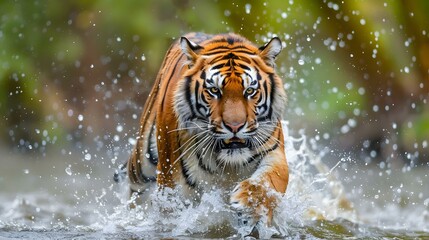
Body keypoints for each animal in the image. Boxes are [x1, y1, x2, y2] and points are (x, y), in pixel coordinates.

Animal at [113, 32, 288, 228]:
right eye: (214, 90)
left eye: (250, 91)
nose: (235, 126)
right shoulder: (171, 189)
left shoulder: (274, 151)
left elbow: (271, 181)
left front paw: (251, 204)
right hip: (141, 166)